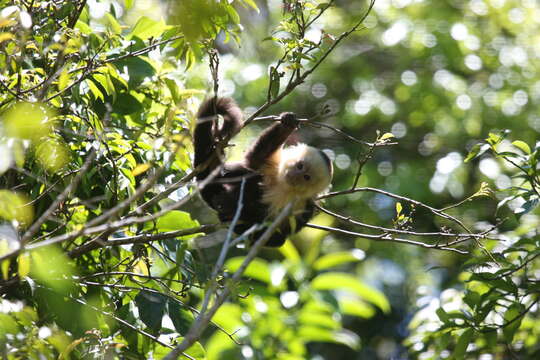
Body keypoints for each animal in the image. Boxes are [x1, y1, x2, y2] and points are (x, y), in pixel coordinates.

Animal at [192, 96, 332, 248]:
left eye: (306, 177)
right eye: (300, 166)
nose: (295, 175)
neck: (284, 184)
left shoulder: (305, 204)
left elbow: (282, 231)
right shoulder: (274, 165)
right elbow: (254, 159)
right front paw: (288, 124)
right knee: (245, 175)